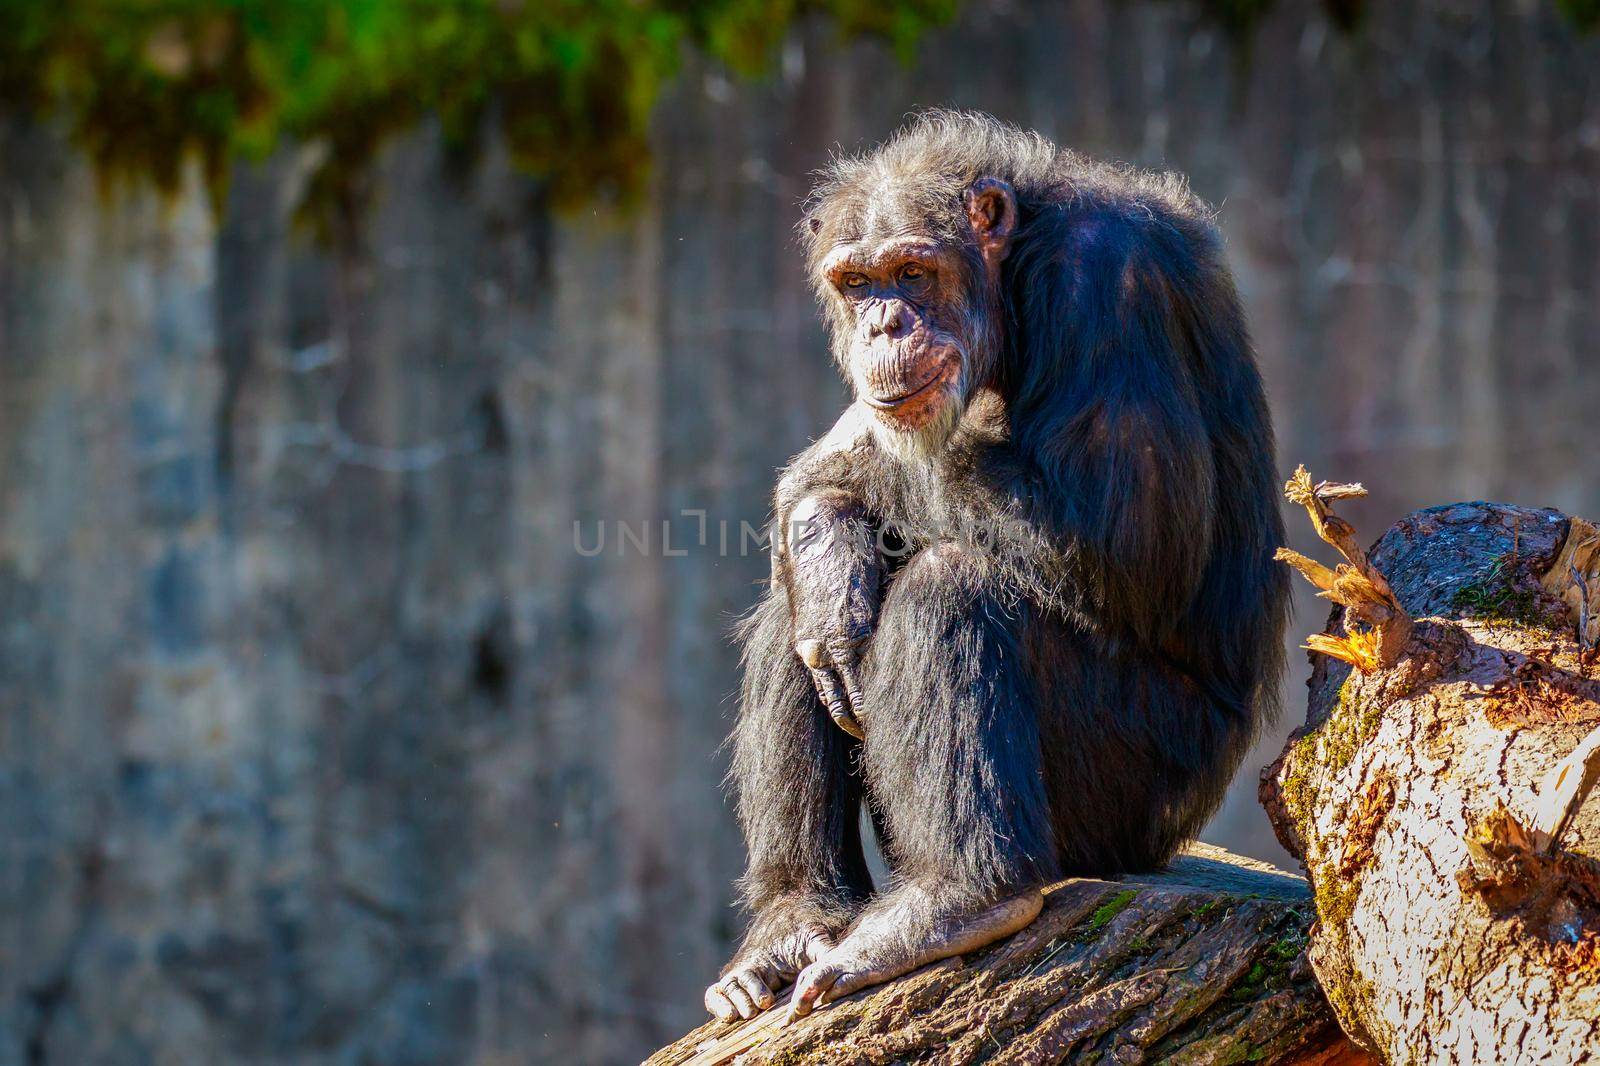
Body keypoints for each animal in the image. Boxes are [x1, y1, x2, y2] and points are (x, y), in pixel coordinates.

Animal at [707, 112, 1292, 1017]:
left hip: (1134, 789)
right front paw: (822, 531)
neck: (1015, 271)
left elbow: (1118, 538)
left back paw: (960, 898)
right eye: (857, 282)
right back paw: (791, 923)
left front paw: (836, 463)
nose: (884, 324)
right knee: (797, 627)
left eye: (913, 273)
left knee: (952, 585)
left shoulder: (1106, 286)